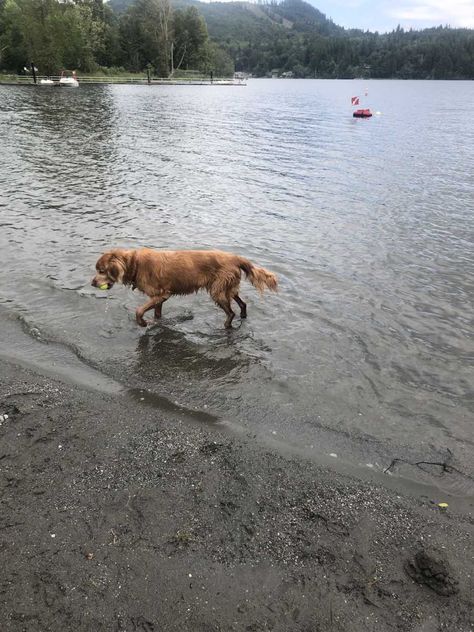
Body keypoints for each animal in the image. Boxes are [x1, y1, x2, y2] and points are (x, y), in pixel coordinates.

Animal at [91, 247, 278, 328]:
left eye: (101, 271)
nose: (92, 283)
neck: (135, 264)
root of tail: (236, 258)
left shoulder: (163, 294)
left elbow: (138, 310)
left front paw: (142, 323)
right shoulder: (158, 297)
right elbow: (157, 314)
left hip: (217, 291)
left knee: (231, 312)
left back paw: (226, 325)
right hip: (227, 288)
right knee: (242, 304)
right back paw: (243, 317)